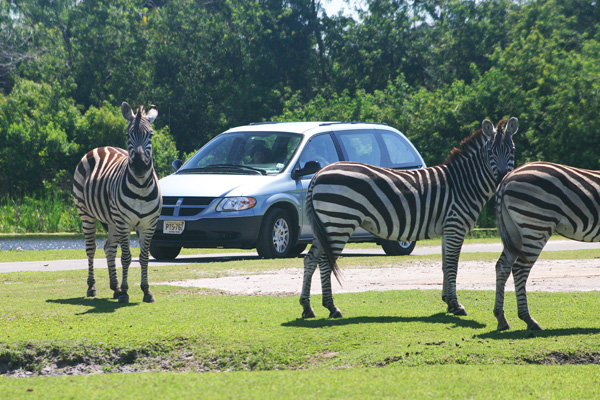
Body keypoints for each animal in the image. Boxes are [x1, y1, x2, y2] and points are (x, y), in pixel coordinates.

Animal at [72, 102, 162, 304]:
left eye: (151, 134)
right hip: (86, 214)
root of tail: (101, 147)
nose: (139, 167)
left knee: (109, 249)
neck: (141, 187)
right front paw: (126, 291)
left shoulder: (149, 224)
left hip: (112, 220)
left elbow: (144, 257)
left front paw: (146, 291)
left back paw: (115, 288)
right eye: (128, 135)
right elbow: (127, 257)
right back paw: (92, 287)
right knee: (91, 248)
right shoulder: (124, 222)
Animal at [302, 116, 516, 318]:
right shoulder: (455, 226)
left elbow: (445, 265)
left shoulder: (447, 229)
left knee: (311, 259)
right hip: (339, 222)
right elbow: (453, 265)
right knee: (324, 261)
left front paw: (448, 302)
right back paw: (332, 307)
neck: (463, 183)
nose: (502, 179)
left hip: (325, 225)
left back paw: (307, 307)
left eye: (512, 150)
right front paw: (457, 305)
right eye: (491, 152)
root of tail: (318, 173)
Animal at [494, 161, 600, 330]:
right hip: (536, 225)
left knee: (502, 266)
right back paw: (529, 320)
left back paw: (501, 319)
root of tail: (507, 178)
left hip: (514, 232)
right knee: (520, 268)